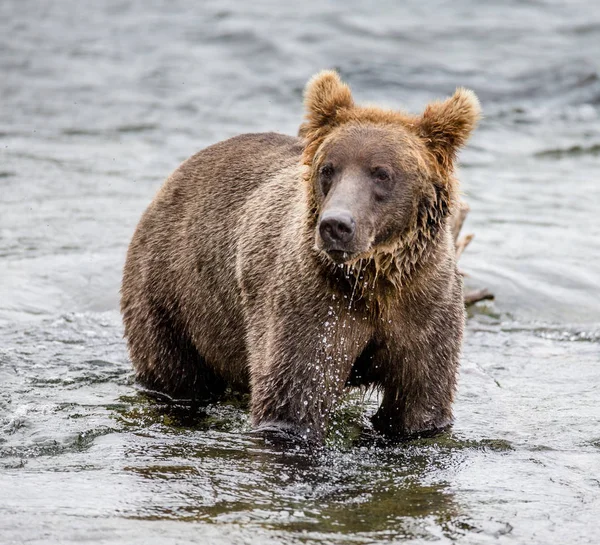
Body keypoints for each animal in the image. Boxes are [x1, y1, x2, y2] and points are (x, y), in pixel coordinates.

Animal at [119, 69, 480, 442]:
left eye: (382, 173)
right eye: (328, 169)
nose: (336, 225)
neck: (374, 278)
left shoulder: (424, 308)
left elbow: (419, 406)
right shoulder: (312, 302)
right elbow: (293, 400)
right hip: (172, 293)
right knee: (176, 373)